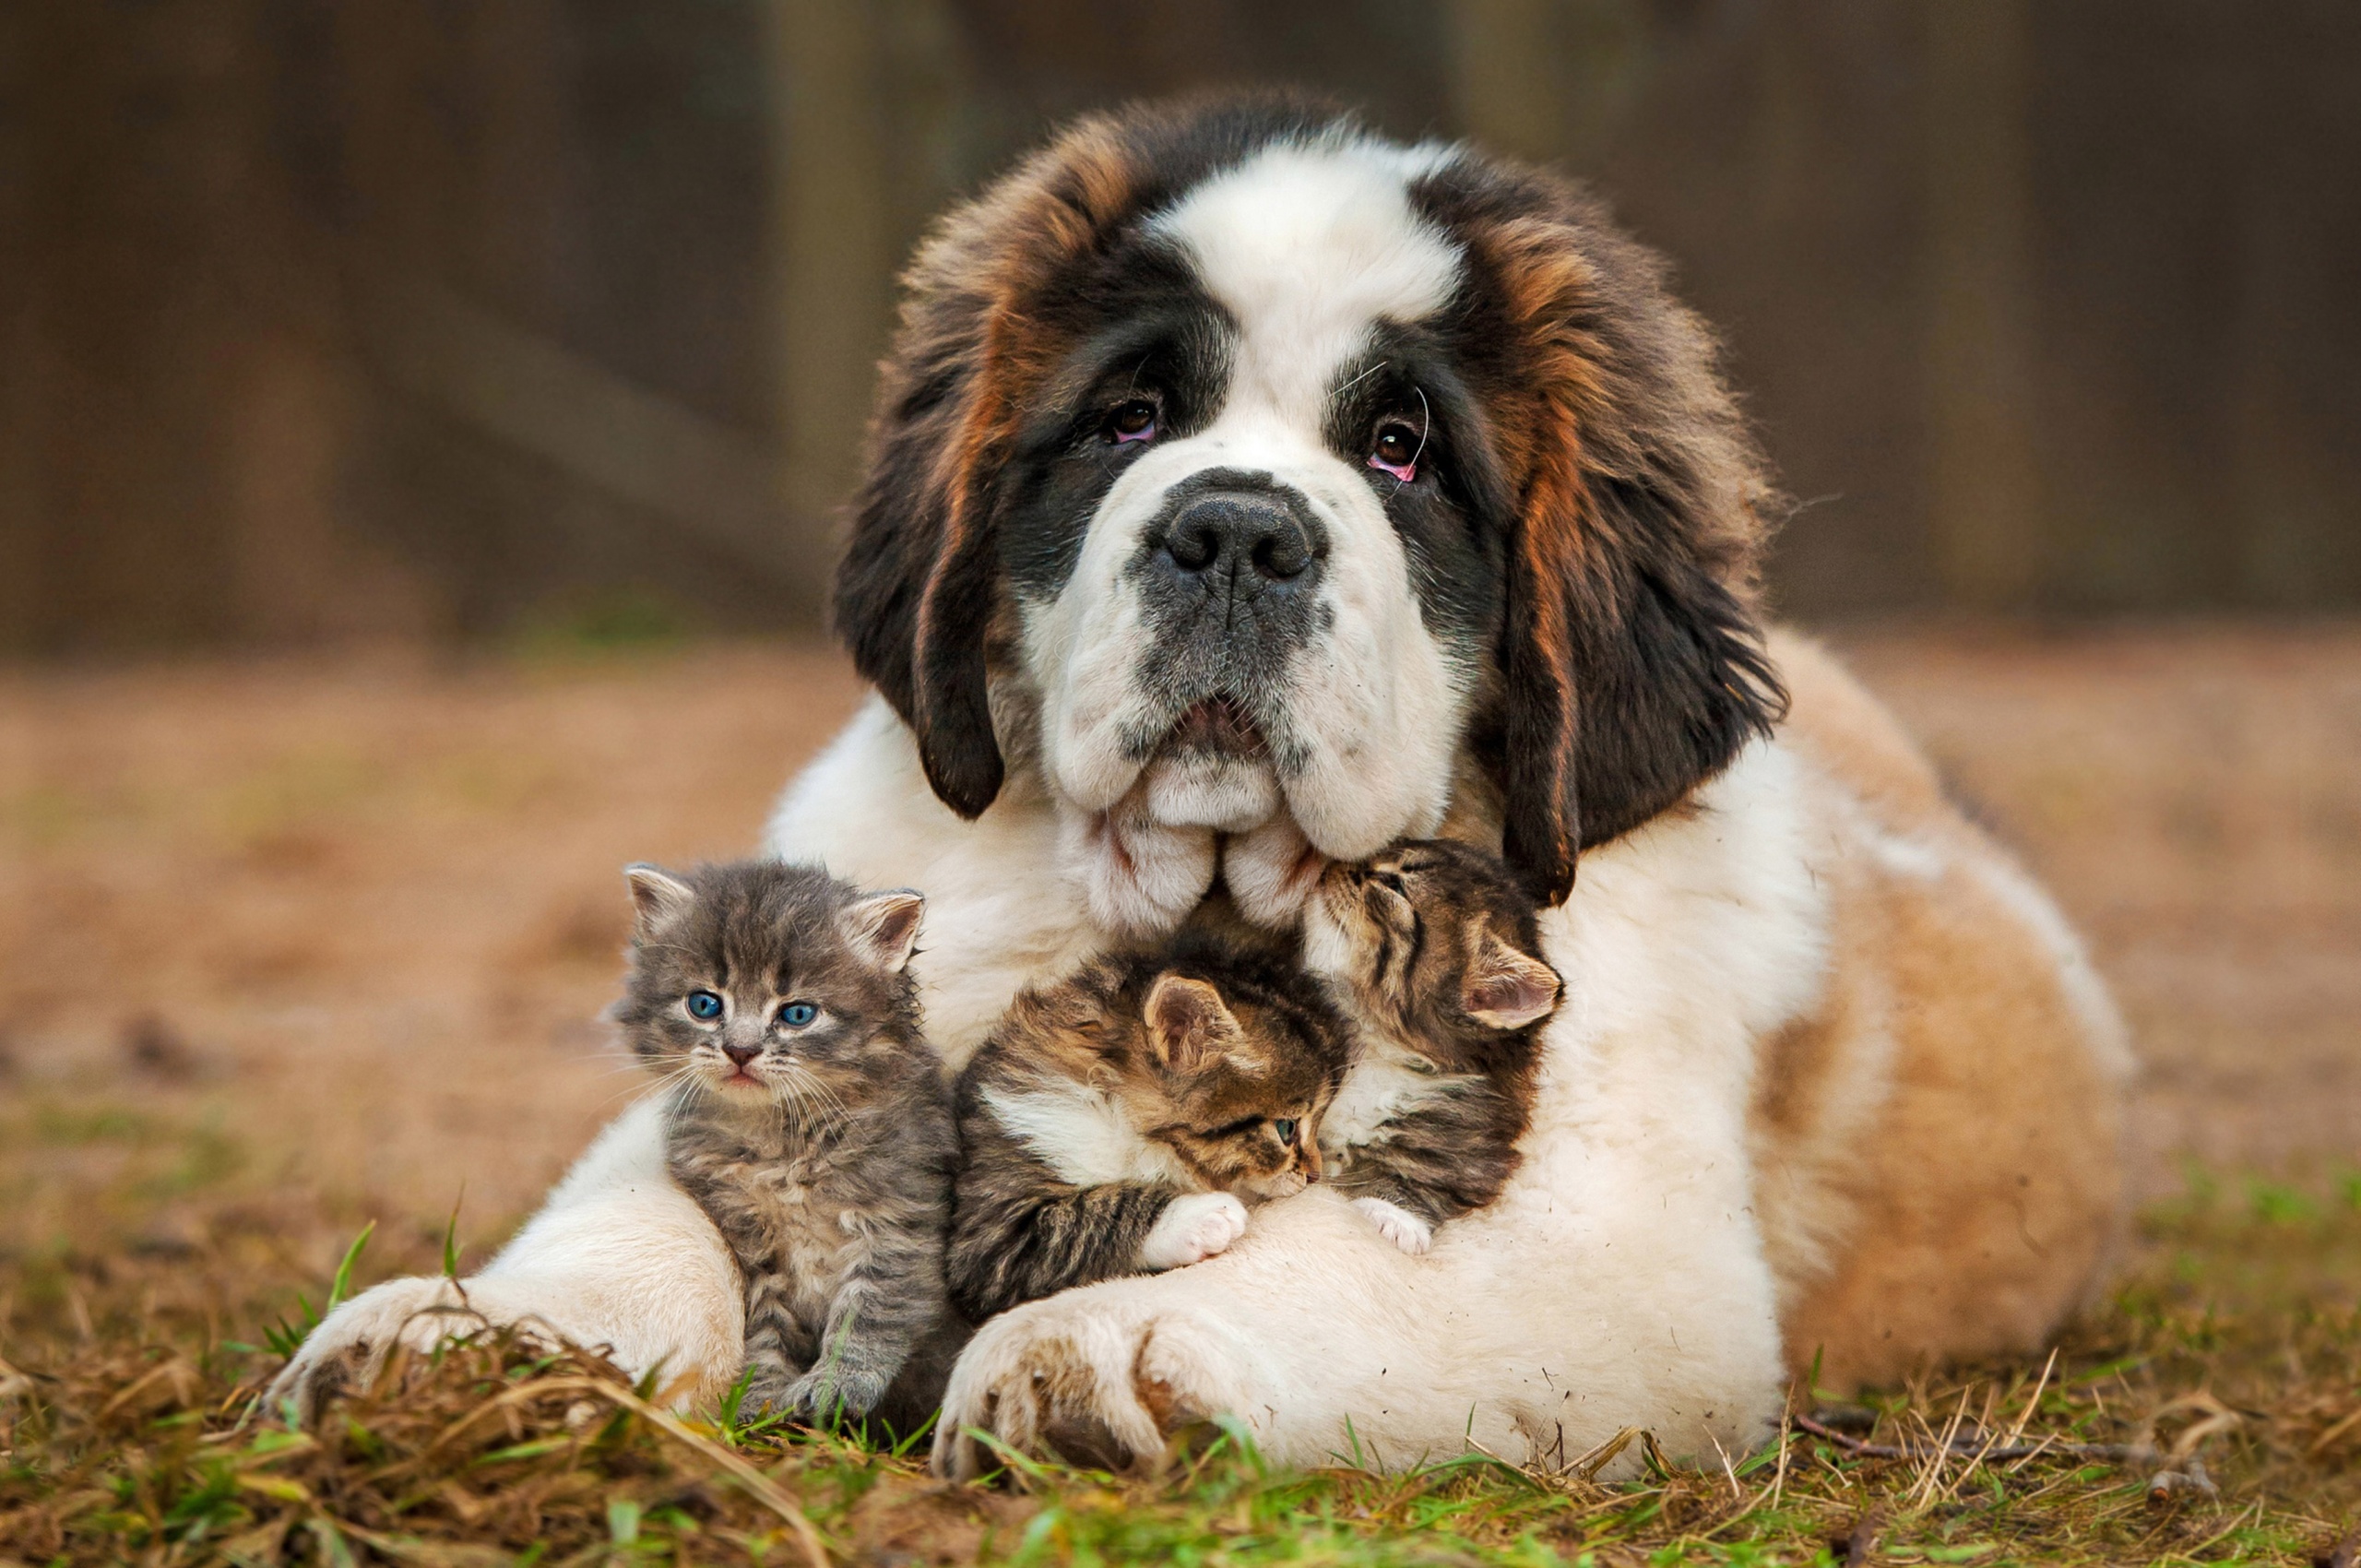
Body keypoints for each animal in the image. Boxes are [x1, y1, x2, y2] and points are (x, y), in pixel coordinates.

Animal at [623, 859, 972, 1435]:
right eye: (704, 1005)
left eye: (798, 1014)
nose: (740, 1050)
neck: (779, 1141)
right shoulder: (754, 1248)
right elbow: (765, 1331)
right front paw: (759, 1398)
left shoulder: (898, 1223)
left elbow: (870, 1314)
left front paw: (835, 1386)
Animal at [944, 934, 1350, 1331]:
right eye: (1287, 1128)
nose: (1315, 1175)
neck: (1119, 1120)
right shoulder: (992, 1238)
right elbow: (1092, 1214)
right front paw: (1198, 1217)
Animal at [1293, 840, 1567, 1256]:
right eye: (1390, 849)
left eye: (1394, 885)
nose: (1336, 865)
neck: (1375, 1046)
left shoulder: (1470, 1144)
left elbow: (1426, 1177)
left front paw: (1394, 1216)